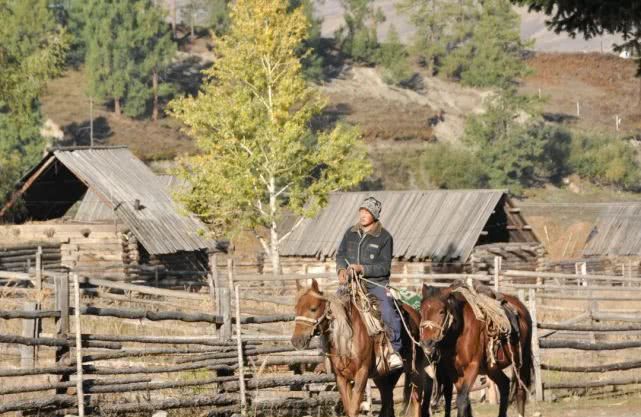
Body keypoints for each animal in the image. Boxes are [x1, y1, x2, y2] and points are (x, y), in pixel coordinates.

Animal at [292, 280, 432, 416]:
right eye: (296, 309)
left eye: (313, 308)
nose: (296, 341)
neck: (348, 338)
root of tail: (415, 314)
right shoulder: (341, 377)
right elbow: (348, 408)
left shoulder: (362, 373)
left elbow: (354, 408)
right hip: (385, 375)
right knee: (387, 403)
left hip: (414, 370)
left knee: (415, 400)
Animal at [418, 282, 532, 416]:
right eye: (421, 311)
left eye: (441, 311)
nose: (427, 343)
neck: (460, 331)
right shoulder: (454, 371)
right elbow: (464, 400)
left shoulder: (472, 366)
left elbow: (462, 400)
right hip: (491, 368)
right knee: (504, 385)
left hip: (520, 363)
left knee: (520, 392)